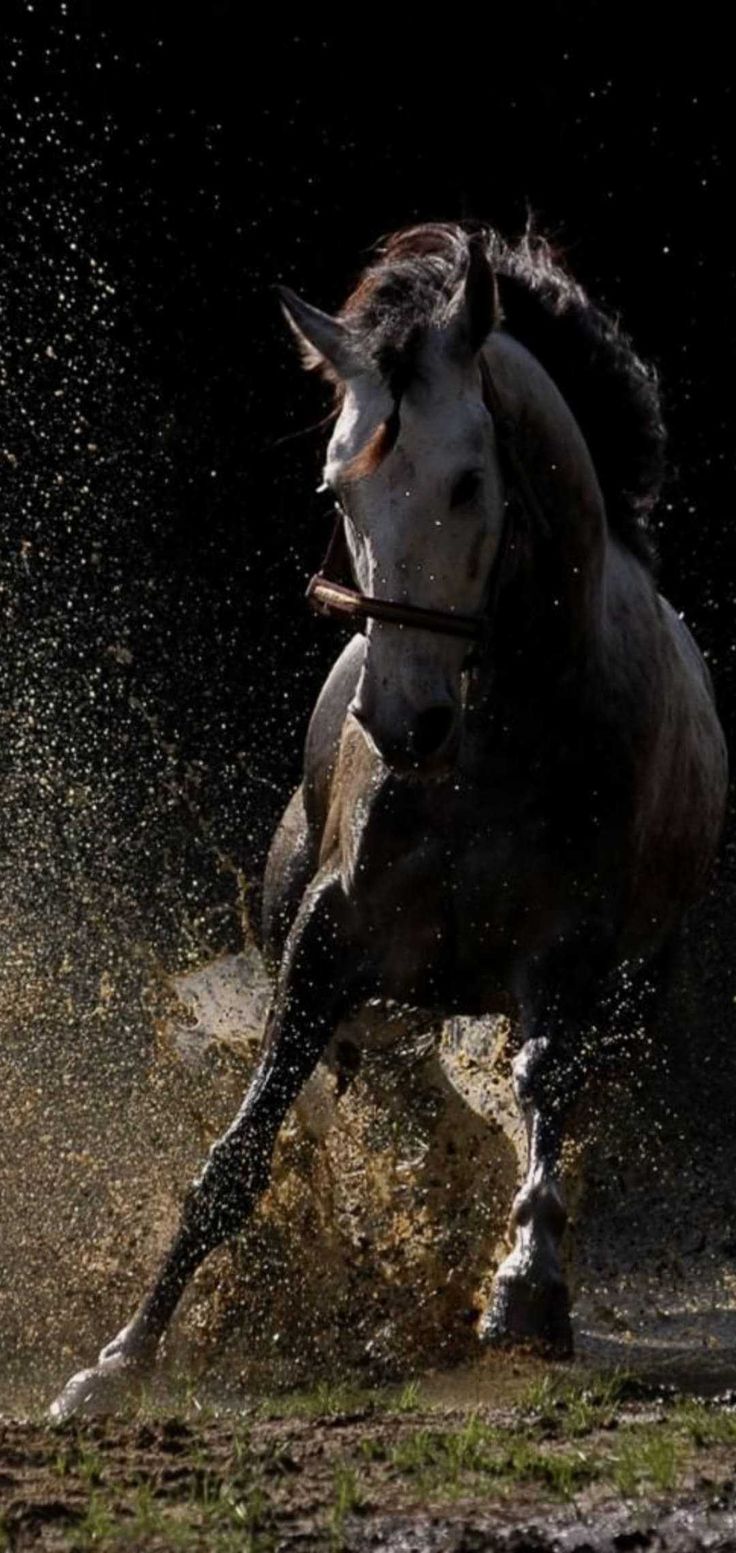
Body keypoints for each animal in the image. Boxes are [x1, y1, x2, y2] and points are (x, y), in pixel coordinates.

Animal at [50, 220, 728, 1418]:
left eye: (468, 480)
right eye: (338, 492)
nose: (401, 718)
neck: (489, 743)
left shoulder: (570, 955)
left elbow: (541, 1092)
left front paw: (525, 1291)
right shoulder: (328, 939)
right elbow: (241, 1149)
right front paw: (121, 1356)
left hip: (629, 993)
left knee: (544, 1106)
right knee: (406, 1096)